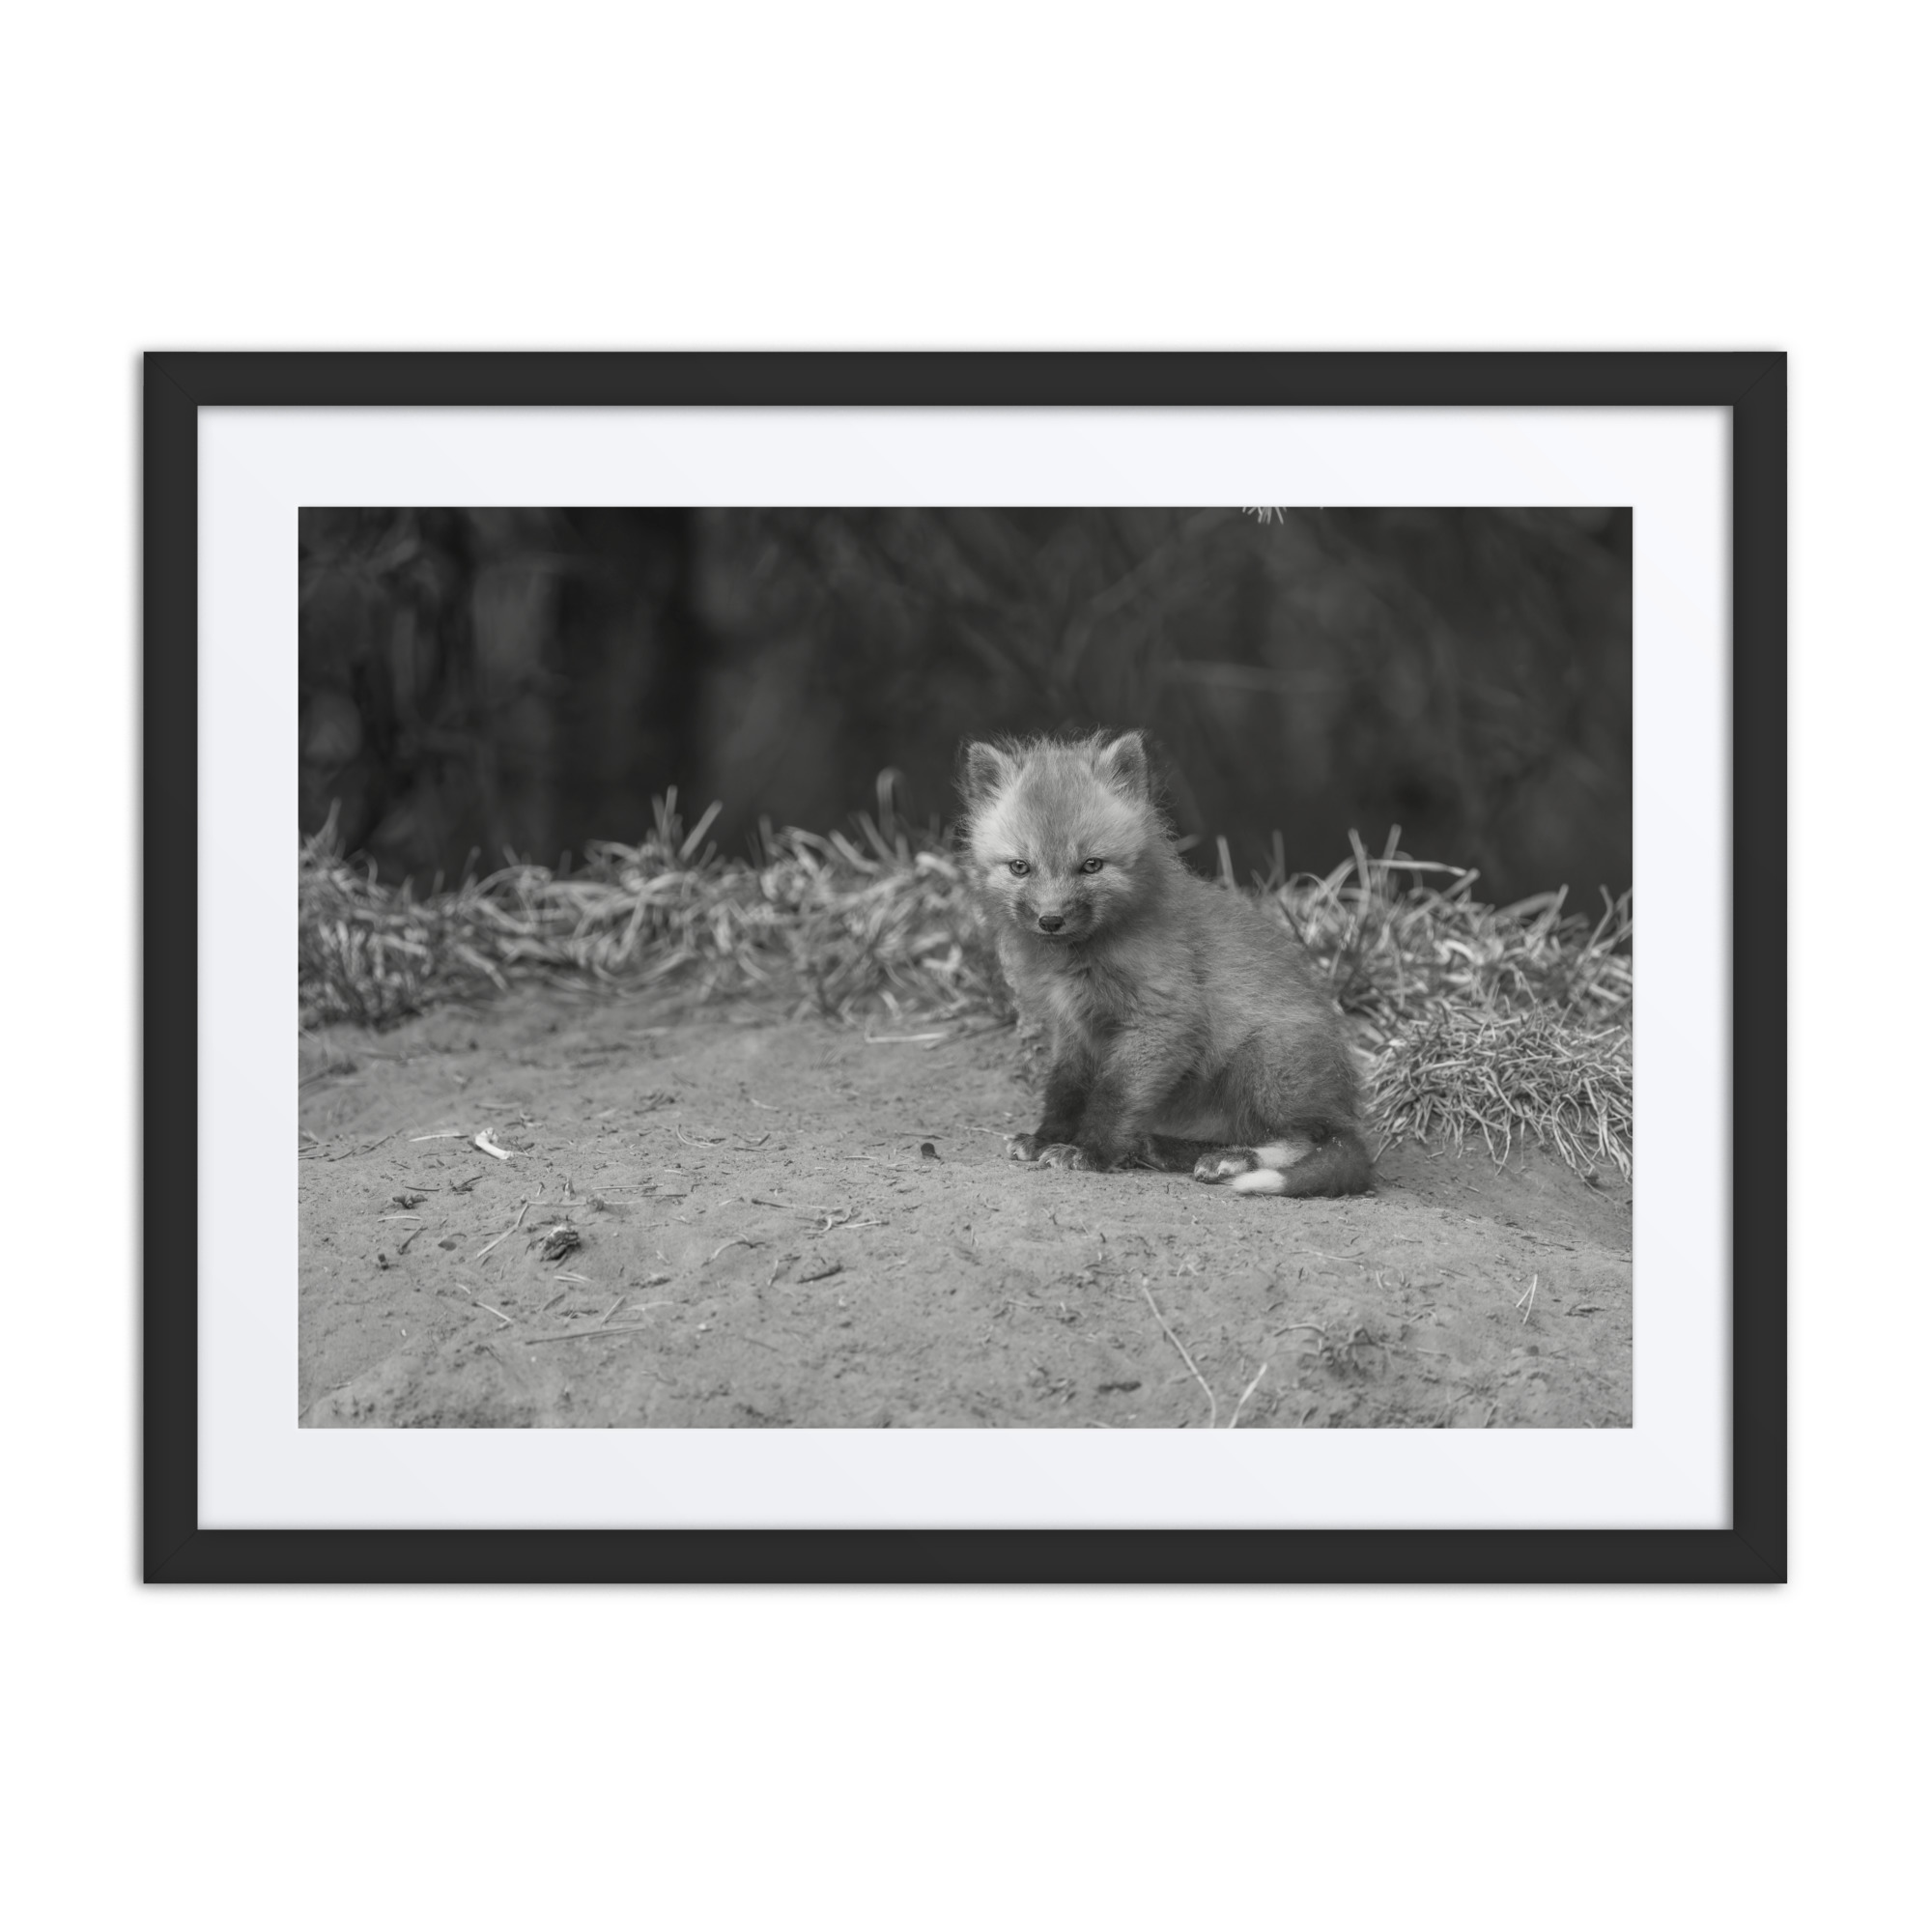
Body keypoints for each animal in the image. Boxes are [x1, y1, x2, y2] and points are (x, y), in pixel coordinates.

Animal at [959, 730, 1373, 1198]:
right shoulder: (1073, 1029)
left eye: (1091, 865)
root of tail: (1345, 1106)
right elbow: (1065, 1090)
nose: (1051, 920)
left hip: (1263, 1062)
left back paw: (1230, 1160)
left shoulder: (1162, 1021)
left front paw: (1089, 1152)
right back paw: (1164, 1148)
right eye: (1020, 867)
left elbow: (1114, 1096)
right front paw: (1046, 1138)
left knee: (1308, 1139)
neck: (1079, 961)